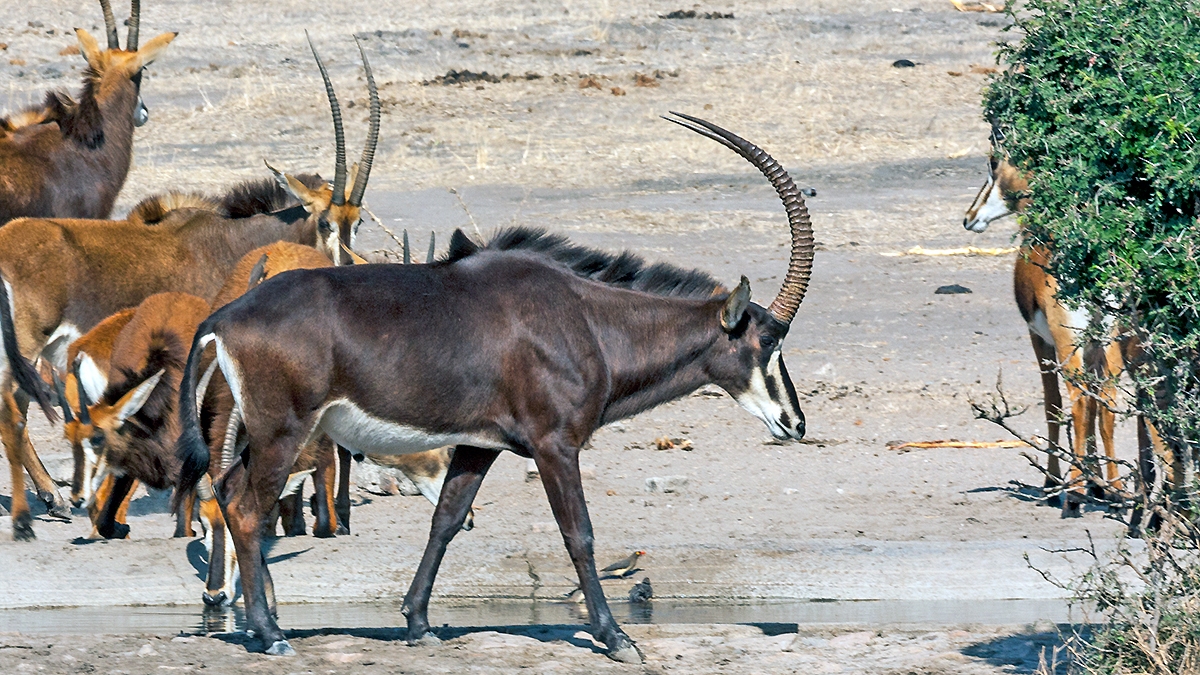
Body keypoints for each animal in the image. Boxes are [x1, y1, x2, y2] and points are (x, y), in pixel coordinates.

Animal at [0, 32, 380, 541]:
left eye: (356, 221)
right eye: (324, 221)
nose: (345, 268)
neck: (235, 241)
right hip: (26, 341)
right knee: (11, 409)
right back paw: (30, 516)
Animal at [174, 113, 813, 661]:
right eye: (767, 341)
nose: (796, 423)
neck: (585, 320)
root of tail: (225, 318)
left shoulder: (479, 446)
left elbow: (447, 520)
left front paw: (418, 624)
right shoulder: (555, 445)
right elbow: (578, 534)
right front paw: (616, 638)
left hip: (262, 433)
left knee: (228, 493)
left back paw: (263, 623)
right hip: (284, 431)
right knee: (249, 509)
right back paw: (271, 635)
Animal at [965, 154, 1127, 512]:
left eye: (991, 170)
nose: (969, 218)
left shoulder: (1040, 340)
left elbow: (1053, 405)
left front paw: (1053, 482)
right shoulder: (1091, 347)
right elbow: (1094, 407)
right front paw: (1098, 485)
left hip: (1069, 343)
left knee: (1077, 401)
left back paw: (1073, 493)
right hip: (1108, 340)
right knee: (1106, 403)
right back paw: (1117, 491)